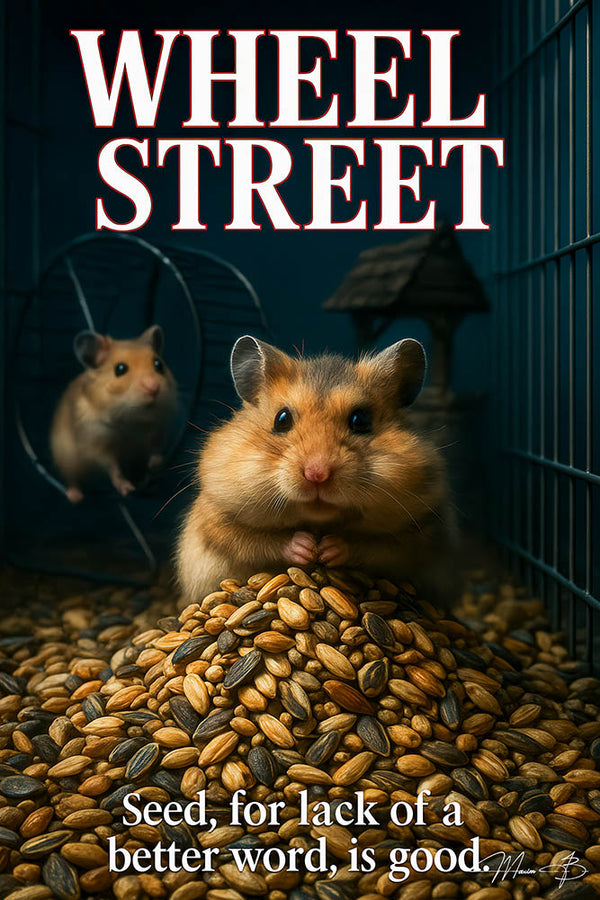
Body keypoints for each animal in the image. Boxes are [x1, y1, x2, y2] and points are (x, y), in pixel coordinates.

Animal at [51, 325, 177, 503]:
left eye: (158, 364)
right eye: (120, 369)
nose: (153, 387)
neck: (132, 419)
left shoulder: (158, 430)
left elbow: (156, 452)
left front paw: (155, 466)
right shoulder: (96, 444)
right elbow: (112, 467)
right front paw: (127, 489)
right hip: (66, 457)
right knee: (73, 478)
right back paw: (75, 497)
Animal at [177, 335, 456, 604]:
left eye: (361, 420)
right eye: (281, 419)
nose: (317, 474)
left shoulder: (419, 531)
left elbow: (376, 546)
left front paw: (327, 549)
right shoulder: (218, 521)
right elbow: (257, 540)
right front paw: (307, 548)